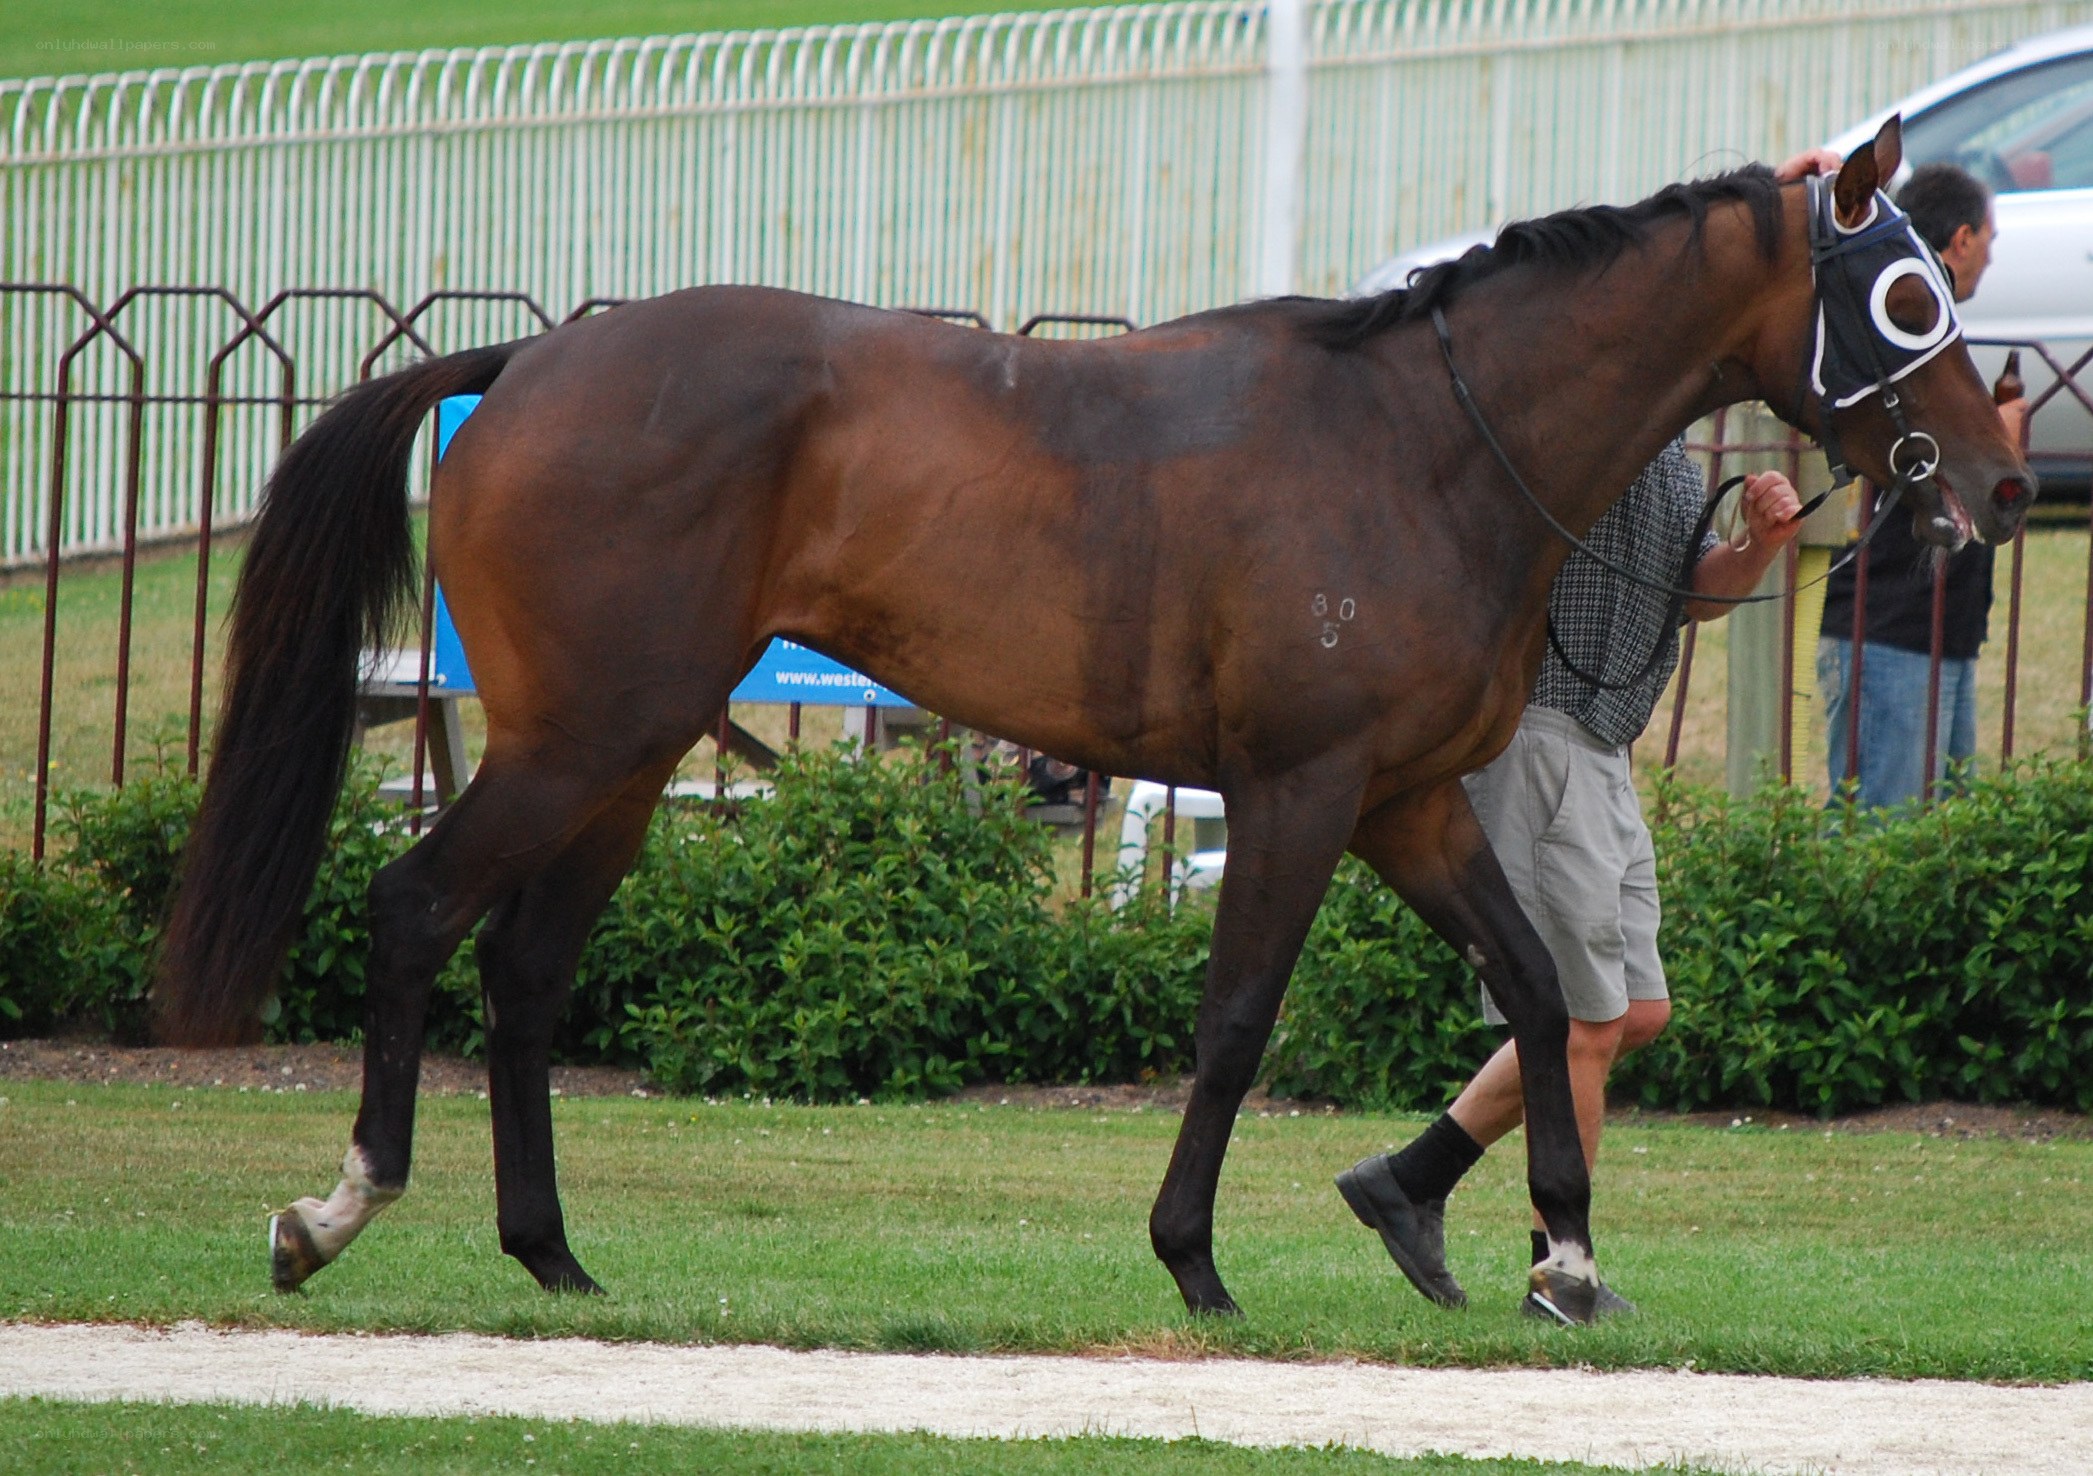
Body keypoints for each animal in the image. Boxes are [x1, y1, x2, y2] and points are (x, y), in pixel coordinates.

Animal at [155, 118, 2028, 1323]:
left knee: (526, 972)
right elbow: (1236, 1019)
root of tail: (526, 369)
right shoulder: (1296, 789)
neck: (1425, 443)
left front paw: (1555, 1252)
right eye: (1906, 298)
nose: (2002, 481)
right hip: (573, 739)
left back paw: (552, 1254)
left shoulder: (1408, 799)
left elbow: (1532, 982)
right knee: (413, 908)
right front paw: (1192, 1257)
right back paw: (334, 1211)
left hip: (626, 747)